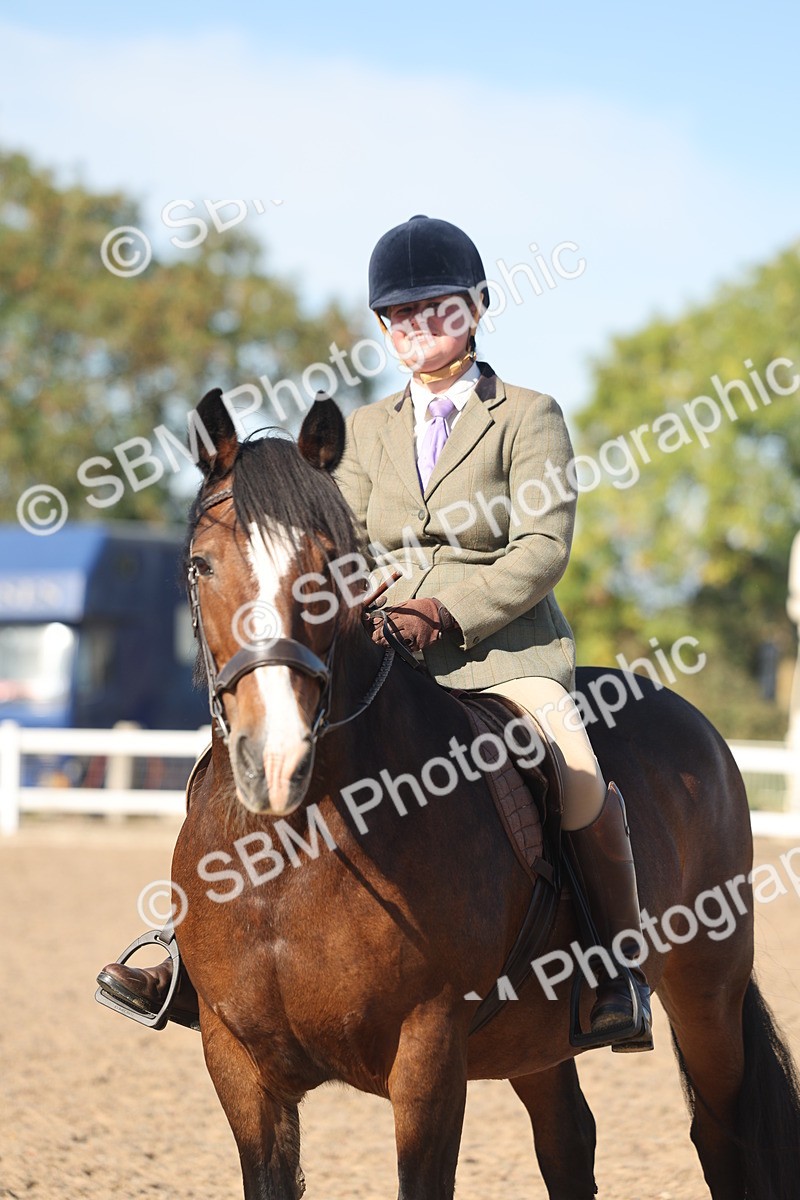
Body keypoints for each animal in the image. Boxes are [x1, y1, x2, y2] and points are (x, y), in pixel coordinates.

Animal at [169, 386, 800, 1200]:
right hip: (536, 1036)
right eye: (201, 565)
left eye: (331, 569)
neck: (293, 851)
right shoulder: (239, 1064)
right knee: (568, 1140)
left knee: (722, 1134)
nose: (275, 759)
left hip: (707, 991)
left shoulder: (429, 1055)